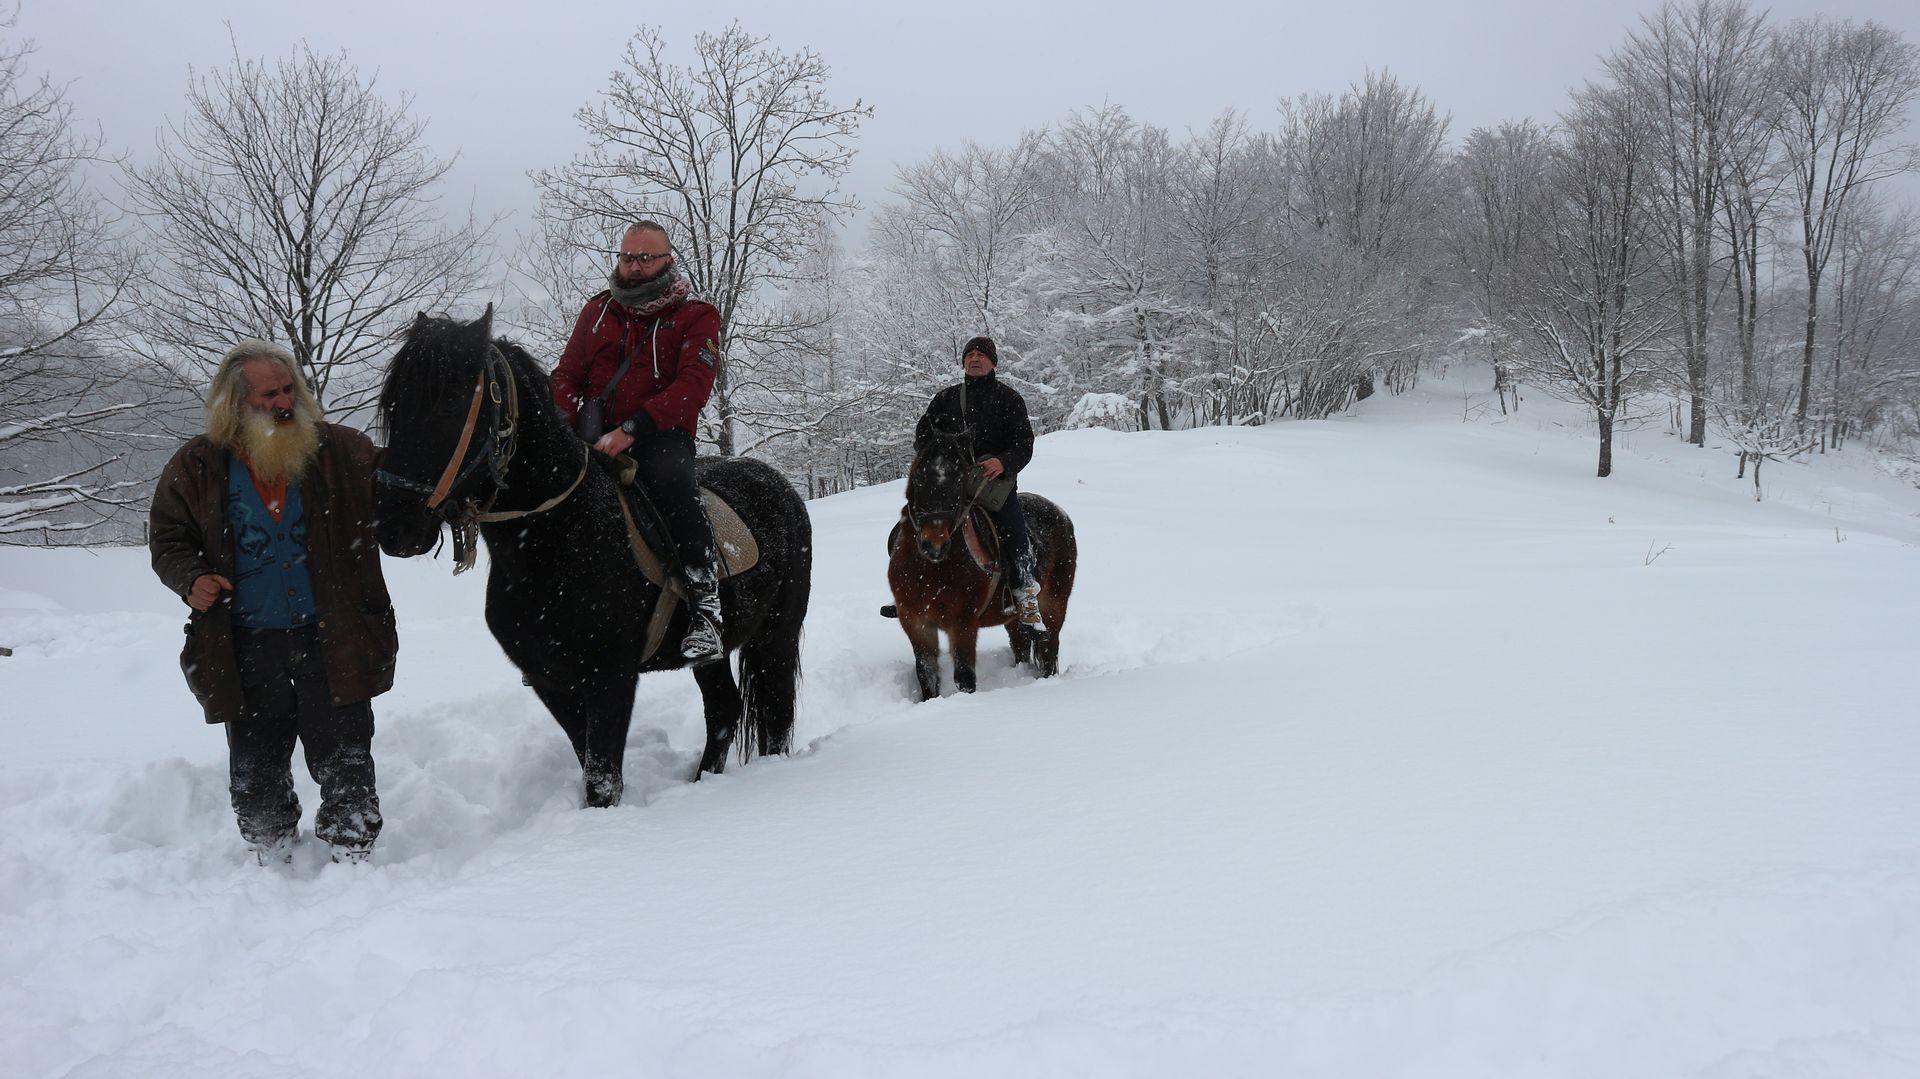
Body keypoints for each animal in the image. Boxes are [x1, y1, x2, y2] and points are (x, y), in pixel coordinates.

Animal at [372, 307, 810, 802]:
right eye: (393, 407)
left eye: (448, 404)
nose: (393, 527)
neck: (558, 540)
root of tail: (780, 485)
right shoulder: (551, 683)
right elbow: (589, 765)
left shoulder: (610, 679)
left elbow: (602, 782)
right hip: (714, 657)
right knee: (724, 710)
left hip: (777, 636)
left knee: (774, 714)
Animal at [887, 420, 1082, 698]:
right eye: (919, 477)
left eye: (959, 481)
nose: (934, 544)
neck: (931, 570)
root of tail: (1061, 514)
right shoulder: (915, 622)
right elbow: (926, 674)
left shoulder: (963, 623)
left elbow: (964, 677)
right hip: (1012, 617)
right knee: (1021, 644)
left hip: (1054, 604)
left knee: (1047, 648)